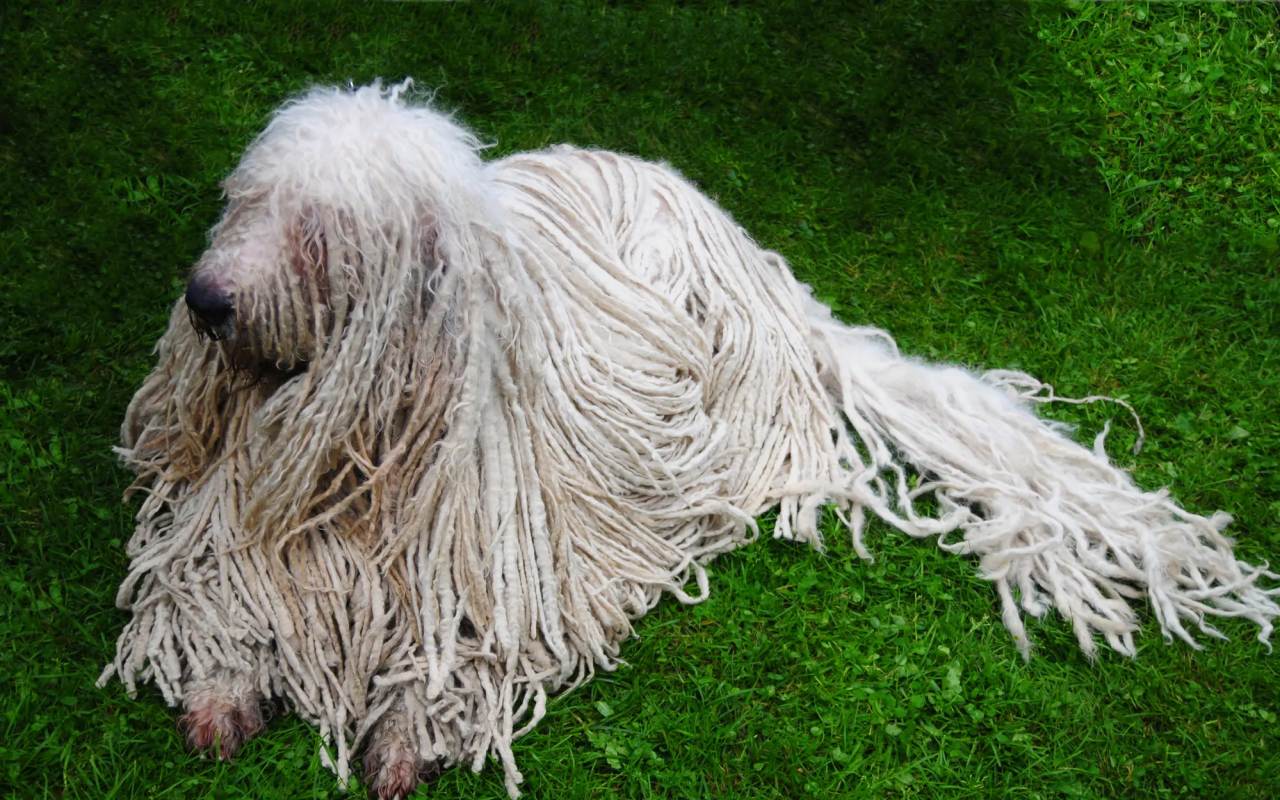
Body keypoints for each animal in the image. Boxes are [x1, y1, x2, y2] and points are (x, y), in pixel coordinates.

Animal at [102, 78, 1280, 793]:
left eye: (320, 235)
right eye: (248, 201)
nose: (206, 300)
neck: (359, 447)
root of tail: (759, 265)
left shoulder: (517, 567)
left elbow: (478, 647)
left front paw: (407, 733)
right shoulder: (236, 507)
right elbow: (214, 580)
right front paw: (221, 685)